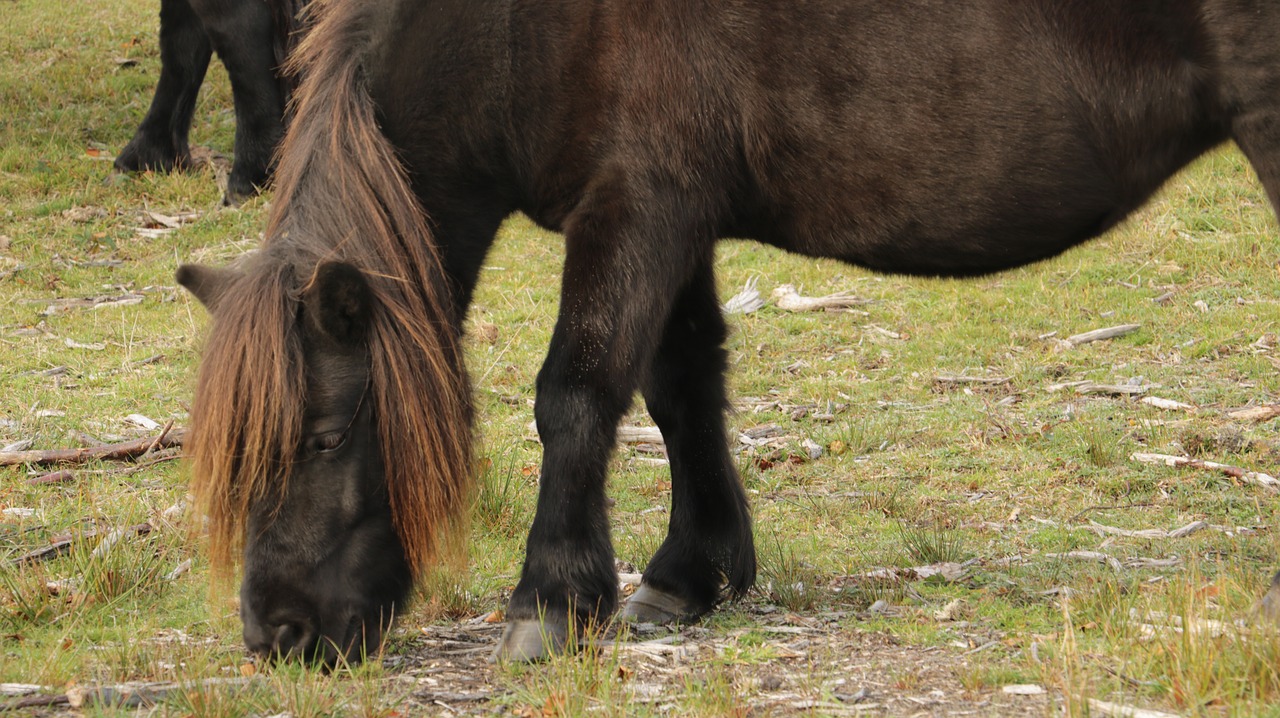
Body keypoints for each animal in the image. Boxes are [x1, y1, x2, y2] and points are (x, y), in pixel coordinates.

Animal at [177, 0, 1280, 665]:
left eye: (323, 438)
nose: (277, 634)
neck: (510, 29)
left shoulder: (635, 206)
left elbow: (577, 394)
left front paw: (550, 599)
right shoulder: (676, 218)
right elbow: (681, 388)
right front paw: (686, 574)